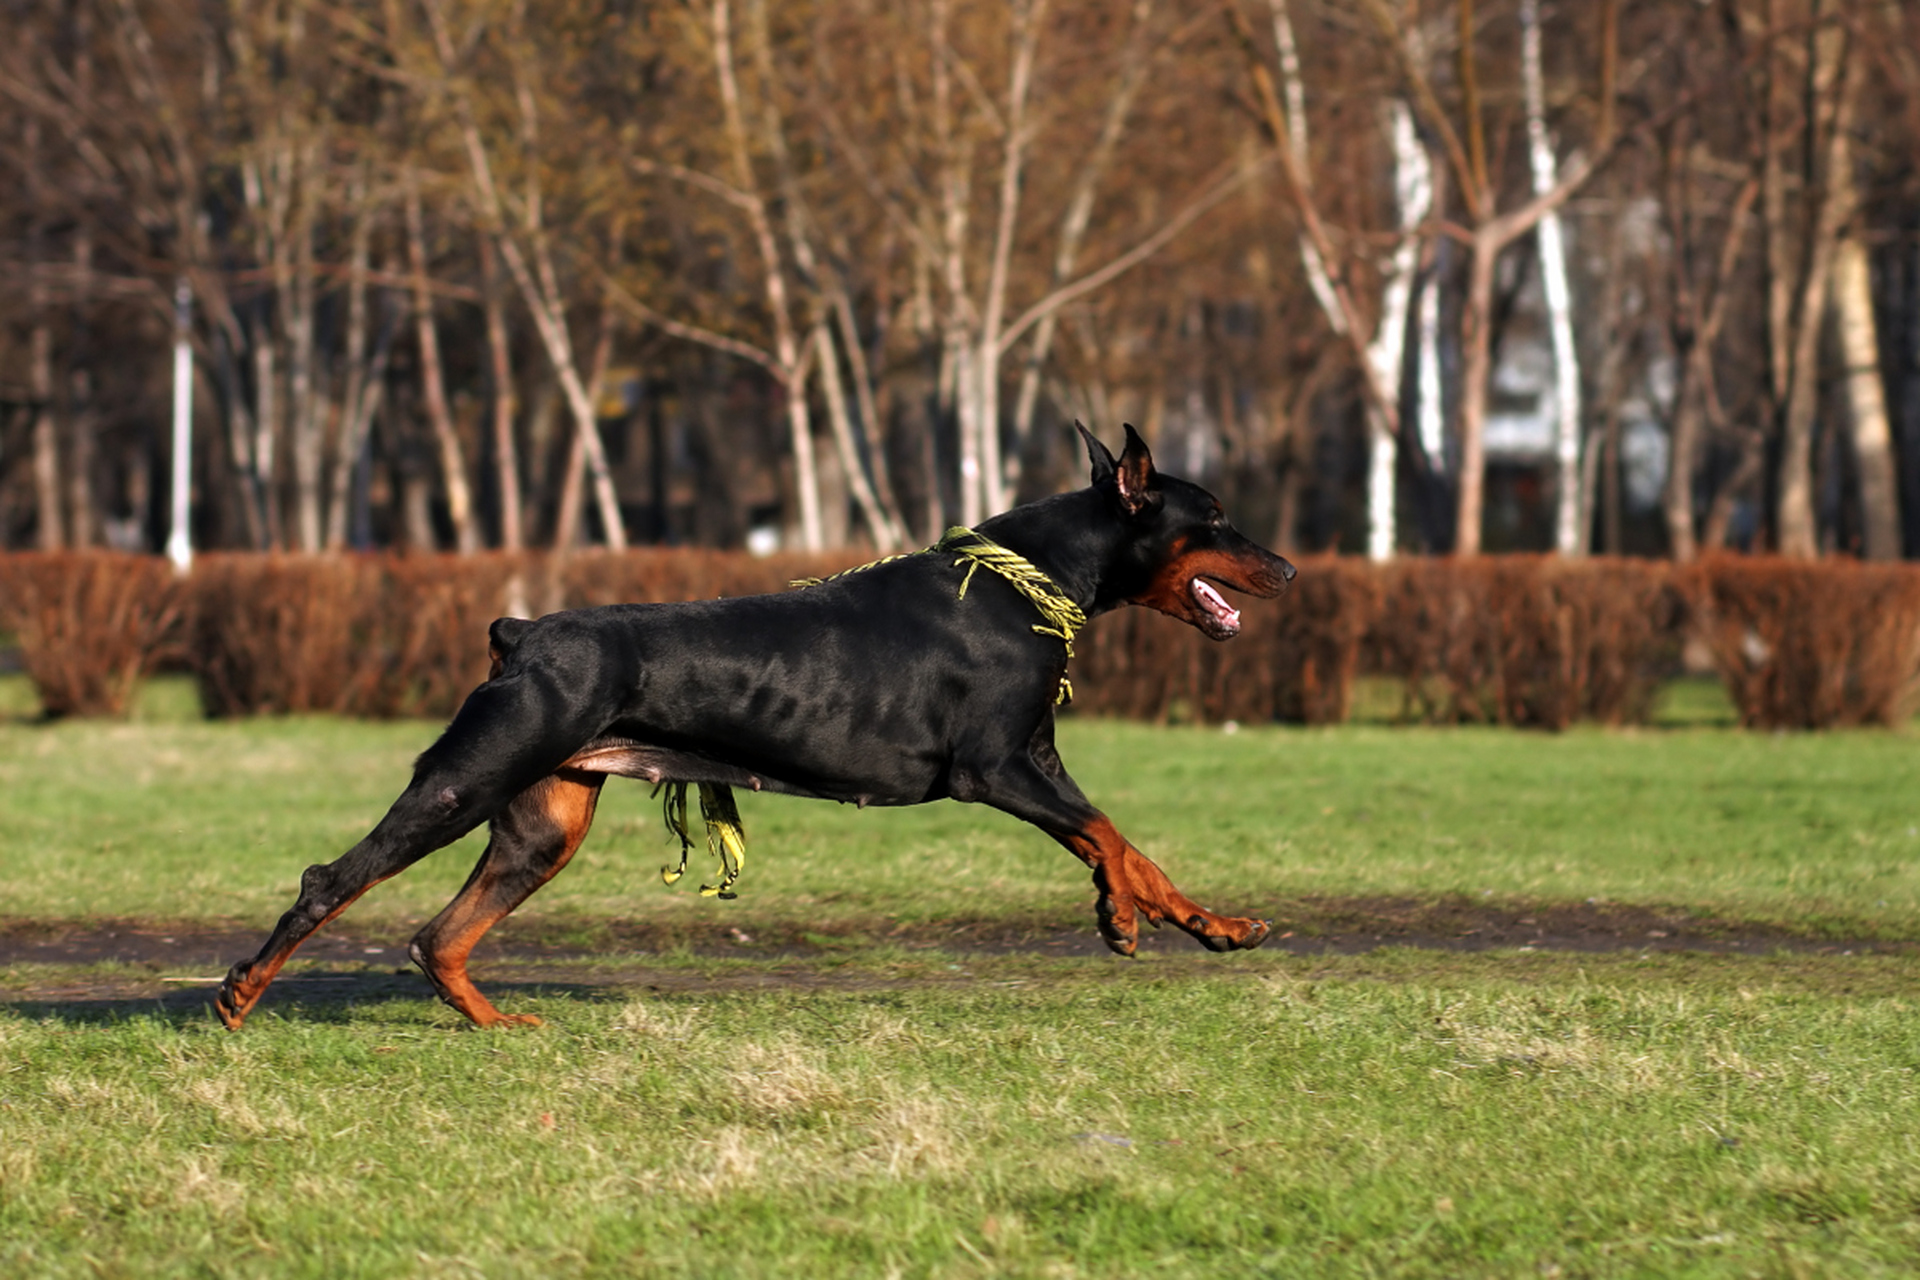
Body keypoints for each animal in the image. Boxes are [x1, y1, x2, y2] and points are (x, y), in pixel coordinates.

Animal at [214, 422, 1290, 1028]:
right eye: (1214, 516)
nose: (1285, 567)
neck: (1025, 579)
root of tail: (520, 633)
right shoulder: (994, 767)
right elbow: (1108, 834)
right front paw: (1127, 916)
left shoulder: (1038, 758)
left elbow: (1129, 846)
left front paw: (1205, 924)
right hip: (467, 776)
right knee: (333, 881)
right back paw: (239, 994)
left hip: (544, 822)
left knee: (439, 936)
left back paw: (494, 1022)